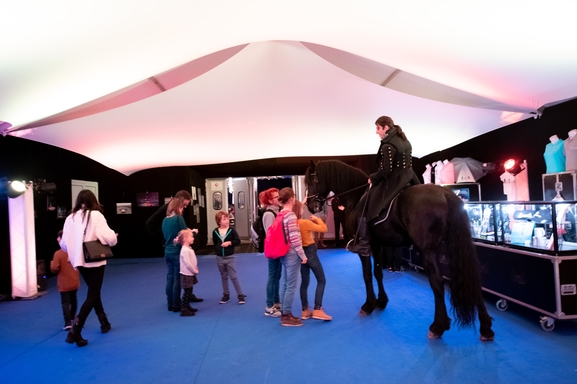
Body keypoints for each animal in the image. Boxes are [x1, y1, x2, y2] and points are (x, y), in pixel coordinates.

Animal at [304, 160, 492, 340]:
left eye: (311, 181)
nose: (310, 206)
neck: (356, 198)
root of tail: (445, 194)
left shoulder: (364, 248)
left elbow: (367, 275)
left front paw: (368, 305)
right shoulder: (376, 245)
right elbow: (378, 272)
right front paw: (381, 302)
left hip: (427, 251)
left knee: (437, 281)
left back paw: (438, 326)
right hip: (451, 247)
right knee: (470, 276)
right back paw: (486, 328)